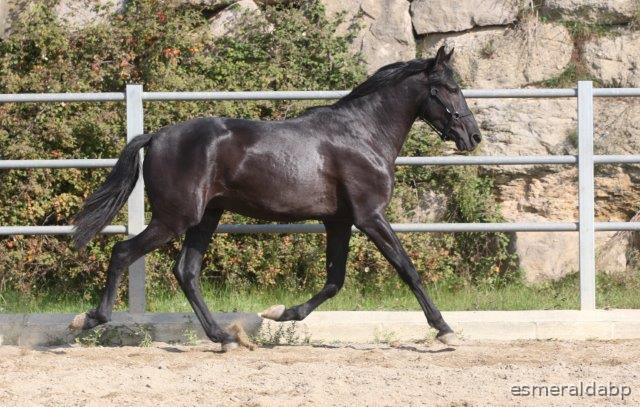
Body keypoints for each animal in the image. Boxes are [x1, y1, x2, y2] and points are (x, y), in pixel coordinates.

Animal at [69, 46, 481, 350]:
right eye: (450, 88)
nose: (473, 136)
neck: (363, 135)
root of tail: (155, 136)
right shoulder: (370, 216)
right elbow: (407, 268)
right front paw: (444, 330)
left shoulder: (339, 220)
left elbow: (334, 280)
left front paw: (278, 313)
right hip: (175, 218)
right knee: (123, 252)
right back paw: (89, 319)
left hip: (206, 217)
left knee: (186, 271)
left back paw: (225, 337)